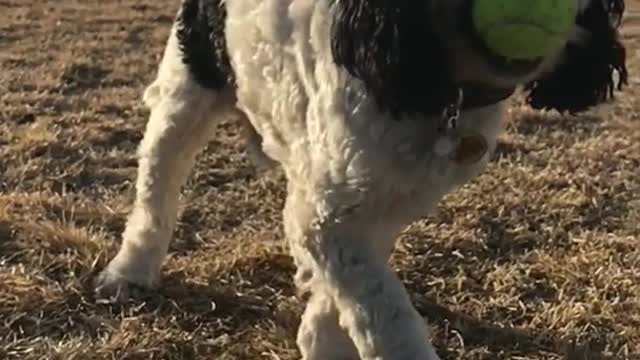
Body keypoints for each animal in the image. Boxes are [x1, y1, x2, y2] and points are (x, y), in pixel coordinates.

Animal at [97, 1, 628, 358]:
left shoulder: (386, 198)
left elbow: (353, 276)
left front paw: (320, 333)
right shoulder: (330, 210)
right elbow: (385, 312)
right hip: (187, 90)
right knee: (157, 189)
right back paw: (130, 271)